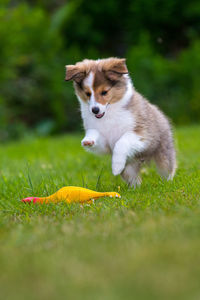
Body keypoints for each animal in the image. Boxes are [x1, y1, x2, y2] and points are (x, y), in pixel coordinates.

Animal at [65, 57, 176, 186]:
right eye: (88, 94)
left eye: (104, 92)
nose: (95, 110)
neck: (109, 113)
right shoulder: (105, 143)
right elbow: (94, 133)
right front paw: (88, 140)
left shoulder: (140, 133)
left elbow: (122, 142)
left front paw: (116, 167)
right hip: (129, 169)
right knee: (134, 179)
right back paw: (135, 188)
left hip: (163, 154)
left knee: (168, 169)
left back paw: (168, 183)